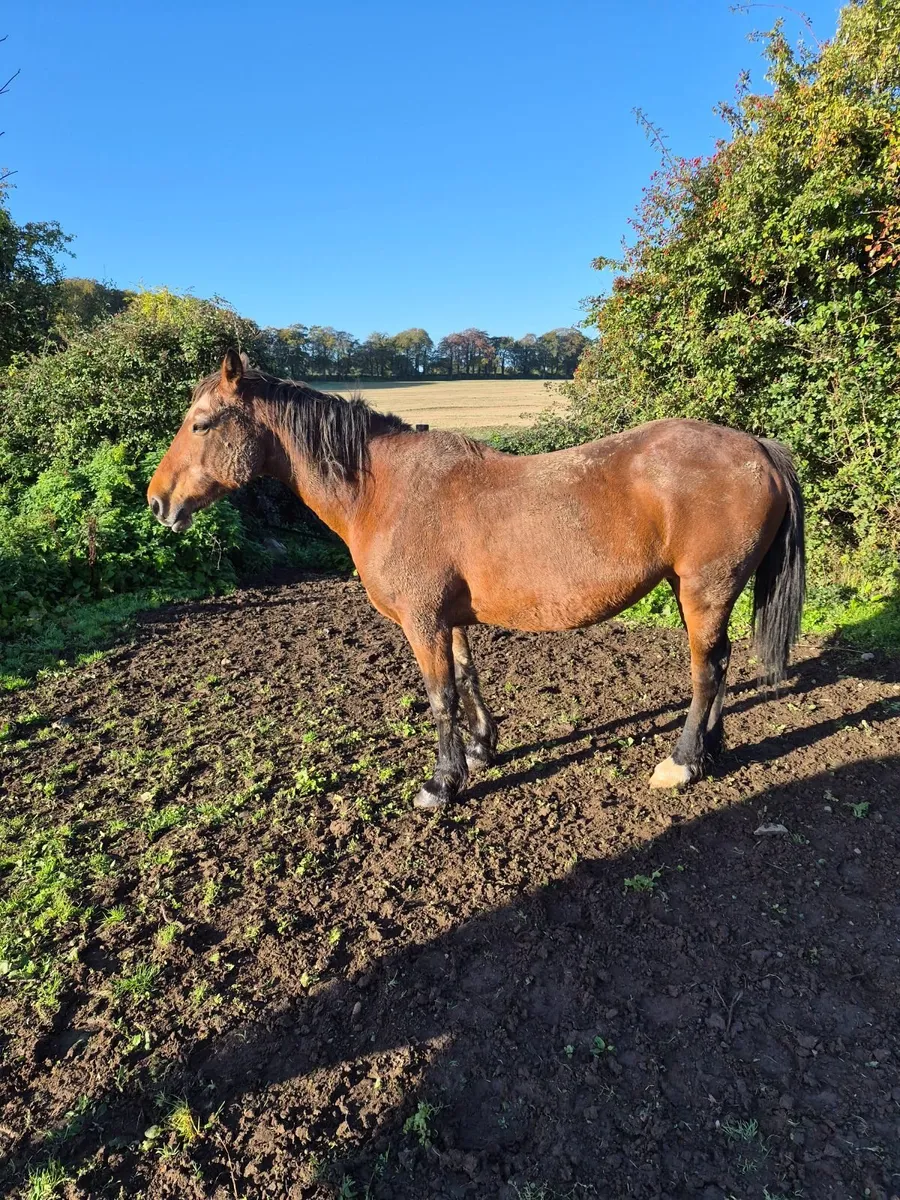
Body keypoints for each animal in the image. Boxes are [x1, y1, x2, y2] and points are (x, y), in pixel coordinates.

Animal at [148, 350, 805, 810]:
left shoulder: (422, 622)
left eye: (201, 424)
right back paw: (712, 750)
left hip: (704, 591)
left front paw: (443, 782)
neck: (383, 491)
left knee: (706, 670)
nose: (158, 501)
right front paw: (482, 748)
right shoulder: (449, 619)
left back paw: (684, 760)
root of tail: (758, 448)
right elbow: (466, 679)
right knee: (720, 665)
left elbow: (439, 696)